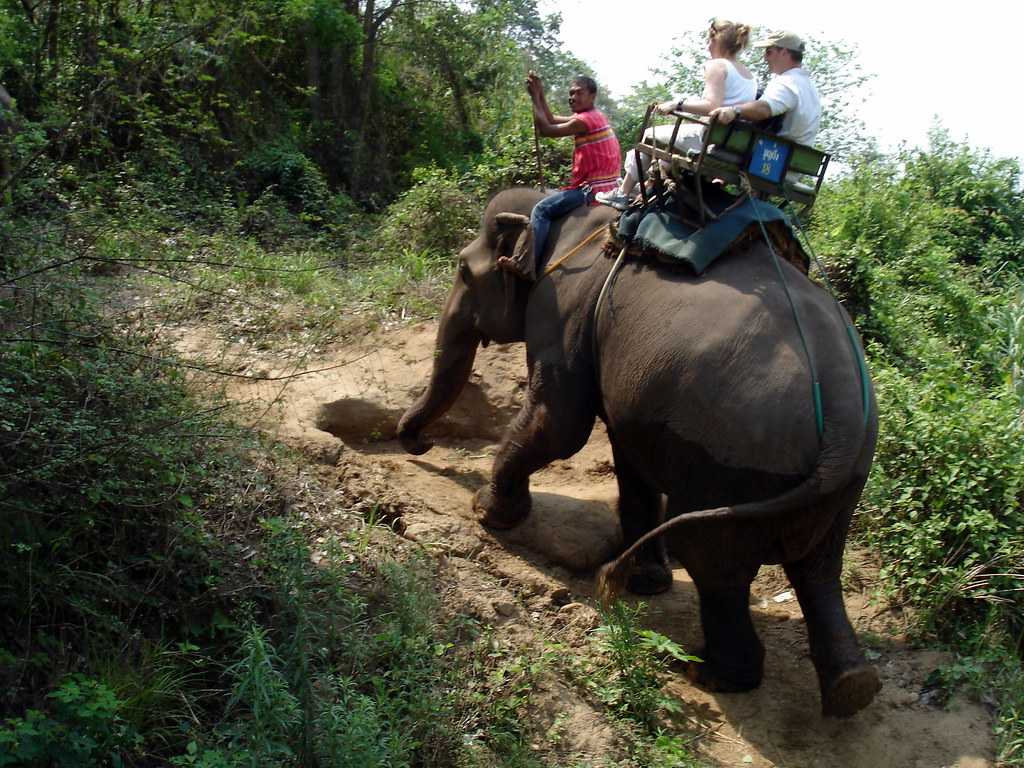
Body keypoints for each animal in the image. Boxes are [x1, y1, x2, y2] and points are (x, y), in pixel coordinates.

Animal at [395, 188, 884, 720]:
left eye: (463, 271)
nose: (418, 444)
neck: (567, 218)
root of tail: (840, 423)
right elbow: (628, 453)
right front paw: (646, 581)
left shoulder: (562, 307)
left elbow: (562, 423)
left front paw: (487, 513)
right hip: (840, 489)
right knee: (820, 570)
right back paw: (852, 689)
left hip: (732, 470)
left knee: (716, 564)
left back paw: (708, 674)